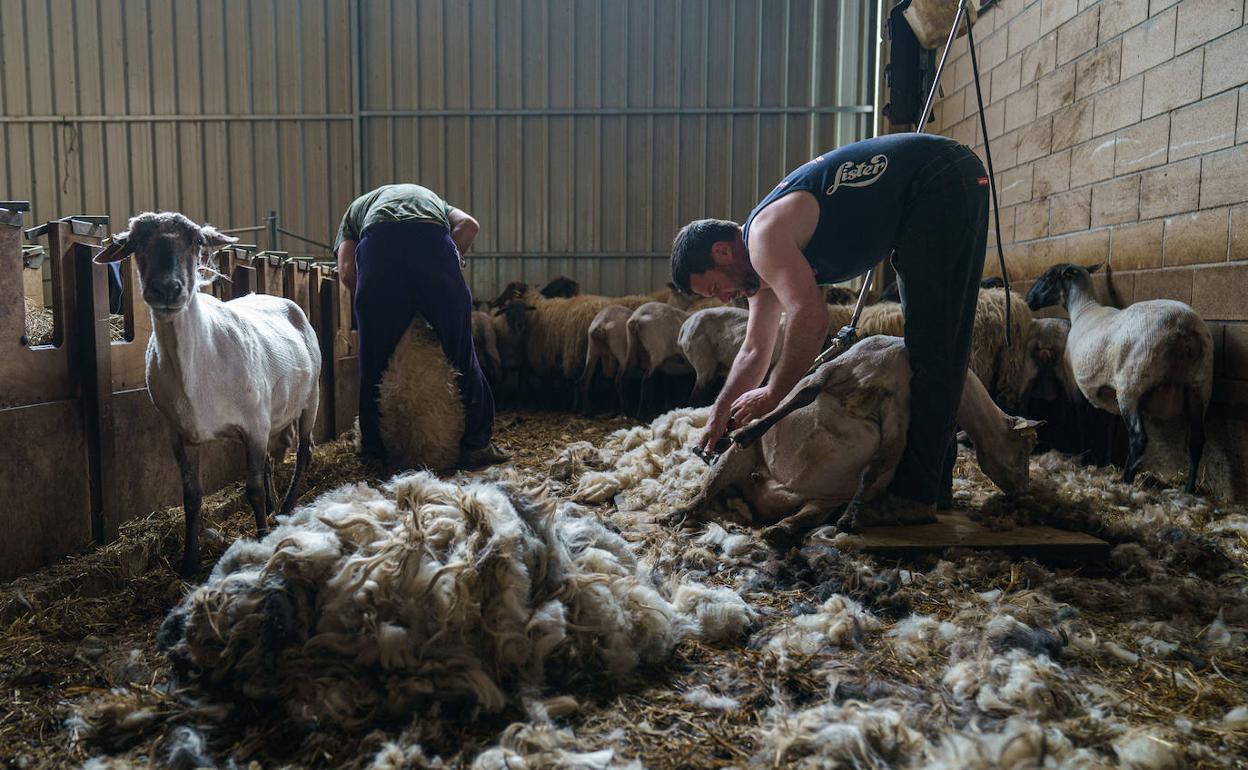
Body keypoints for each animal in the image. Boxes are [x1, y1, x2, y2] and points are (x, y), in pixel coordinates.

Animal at [96, 213, 321, 574]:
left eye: (197, 242)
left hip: (310, 397)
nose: (166, 289)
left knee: (304, 451)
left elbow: (252, 489)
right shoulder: (180, 433)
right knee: (270, 462)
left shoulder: (254, 425)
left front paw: (260, 540)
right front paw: (189, 561)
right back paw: (275, 508)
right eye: (135, 244)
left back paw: (285, 507)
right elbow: (192, 496)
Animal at [1023, 264, 1208, 491]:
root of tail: (1184, 330)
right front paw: (1107, 461)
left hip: (1132, 386)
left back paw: (1127, 481)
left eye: (1048, 276)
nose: (1028, 299)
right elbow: (1111, 428)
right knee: (1197, 441)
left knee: (1138, 439)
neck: (1083, 309)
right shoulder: (1110, 393)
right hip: (1198, 388)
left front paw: (1083, 457)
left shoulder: (1075, 385)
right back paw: (1189, 489)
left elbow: (1081, 421)